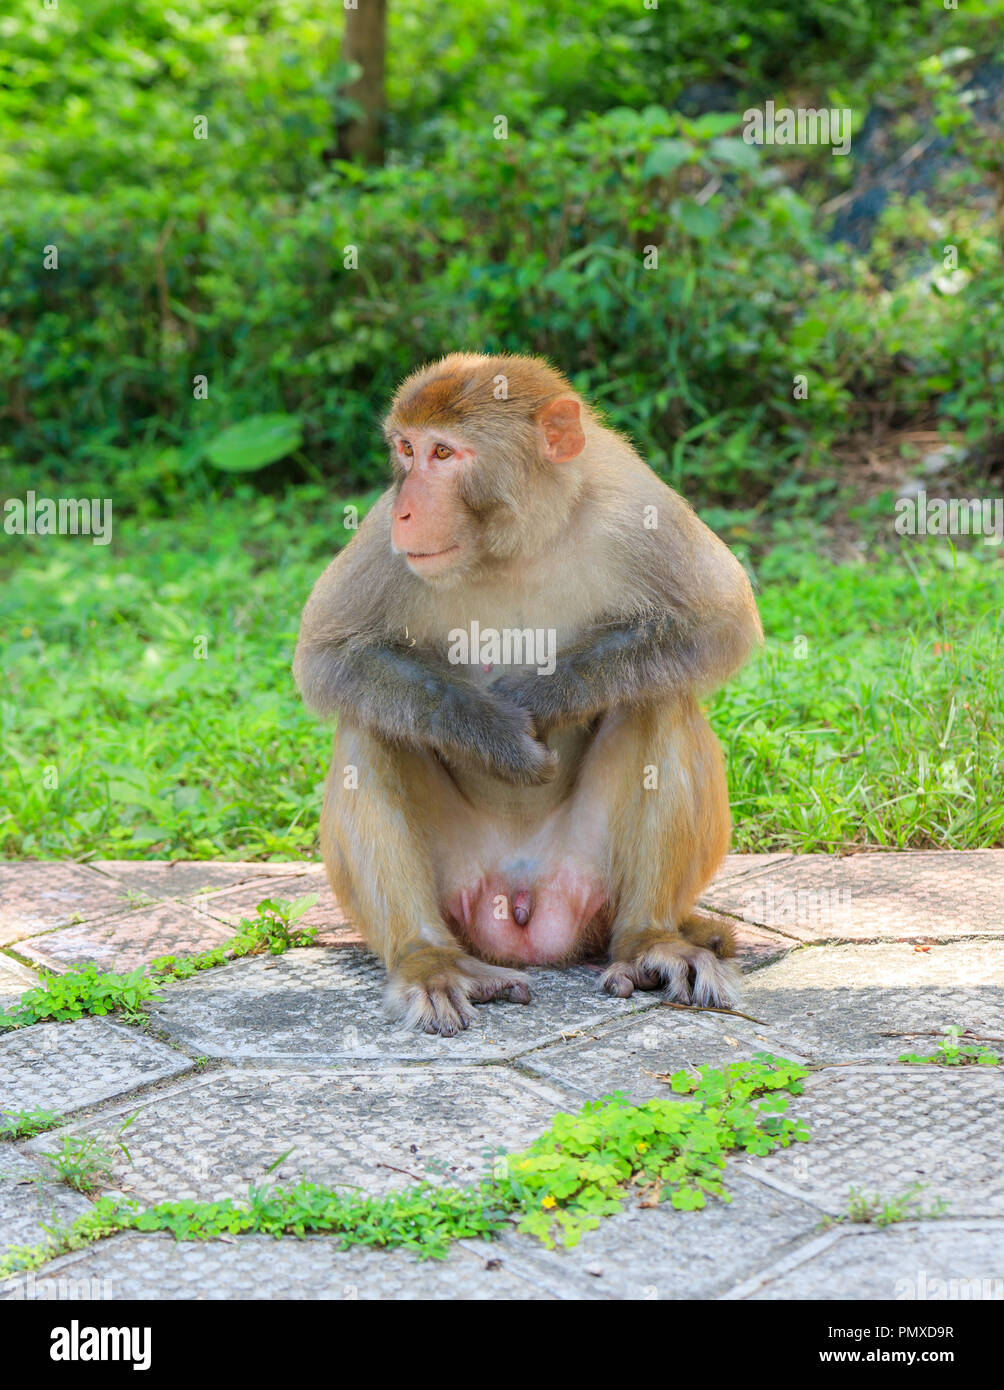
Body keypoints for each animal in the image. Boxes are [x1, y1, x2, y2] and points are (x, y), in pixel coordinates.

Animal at [293, 353, 762, 1039]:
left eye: (443, 453)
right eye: (407, 451)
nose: (407, 511)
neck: (515, 543)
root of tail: (522, 908)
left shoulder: (635, 503)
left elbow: (718, 622)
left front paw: (543, 697)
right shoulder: (381, 536)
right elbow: (330, 656)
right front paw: (495, 734)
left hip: (589, 884)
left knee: (658, 694)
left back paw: (651, 940)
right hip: (463, 891)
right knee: (371, 721)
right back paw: (426, 958)